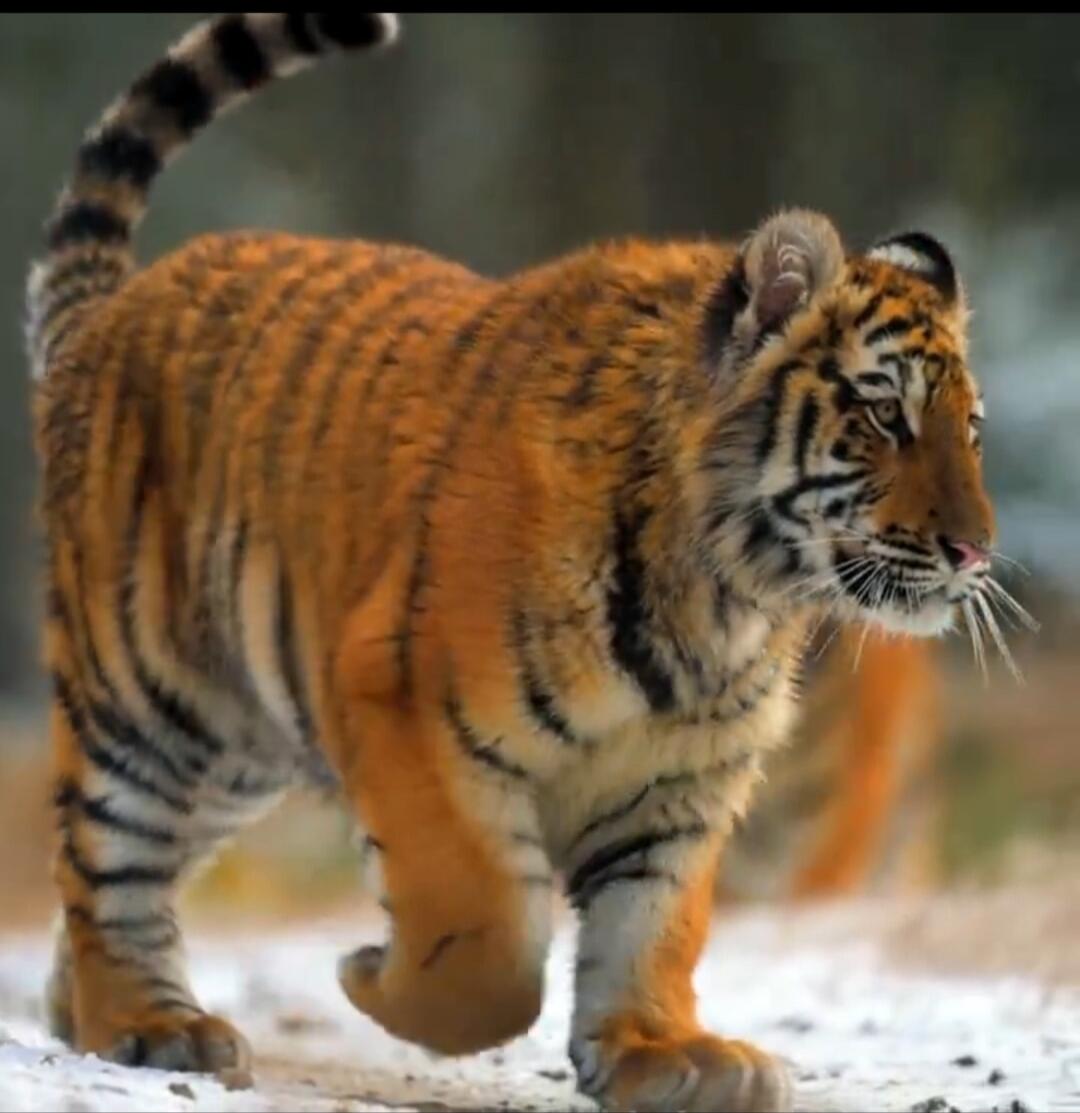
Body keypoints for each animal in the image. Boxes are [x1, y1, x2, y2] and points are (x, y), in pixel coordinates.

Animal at [27, 12, 1004, 1113]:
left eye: (969, 430)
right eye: (885, 414)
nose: (976, 549)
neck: (732, 596)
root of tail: (108, 313)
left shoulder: (684, 777)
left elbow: (656, 923)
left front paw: (662, 1052)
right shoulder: (404, 713)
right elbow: (489, 937)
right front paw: (371, 977)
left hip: (237, 743)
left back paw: (92, 1012)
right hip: (147, 700)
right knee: (106, 863)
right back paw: (150, 1025)